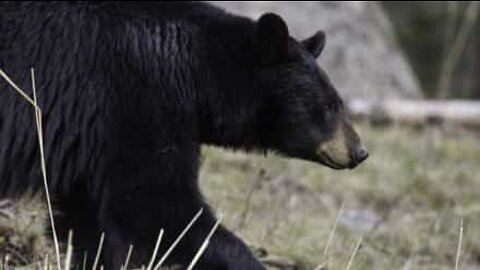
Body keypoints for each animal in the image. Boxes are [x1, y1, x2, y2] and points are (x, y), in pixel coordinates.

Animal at [0, 2, 370, 270]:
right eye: (329, 105)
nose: (360, 151)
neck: (194, 73)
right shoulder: (133, 101)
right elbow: (159, 205)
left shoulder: (92, 139)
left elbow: (88, 218)